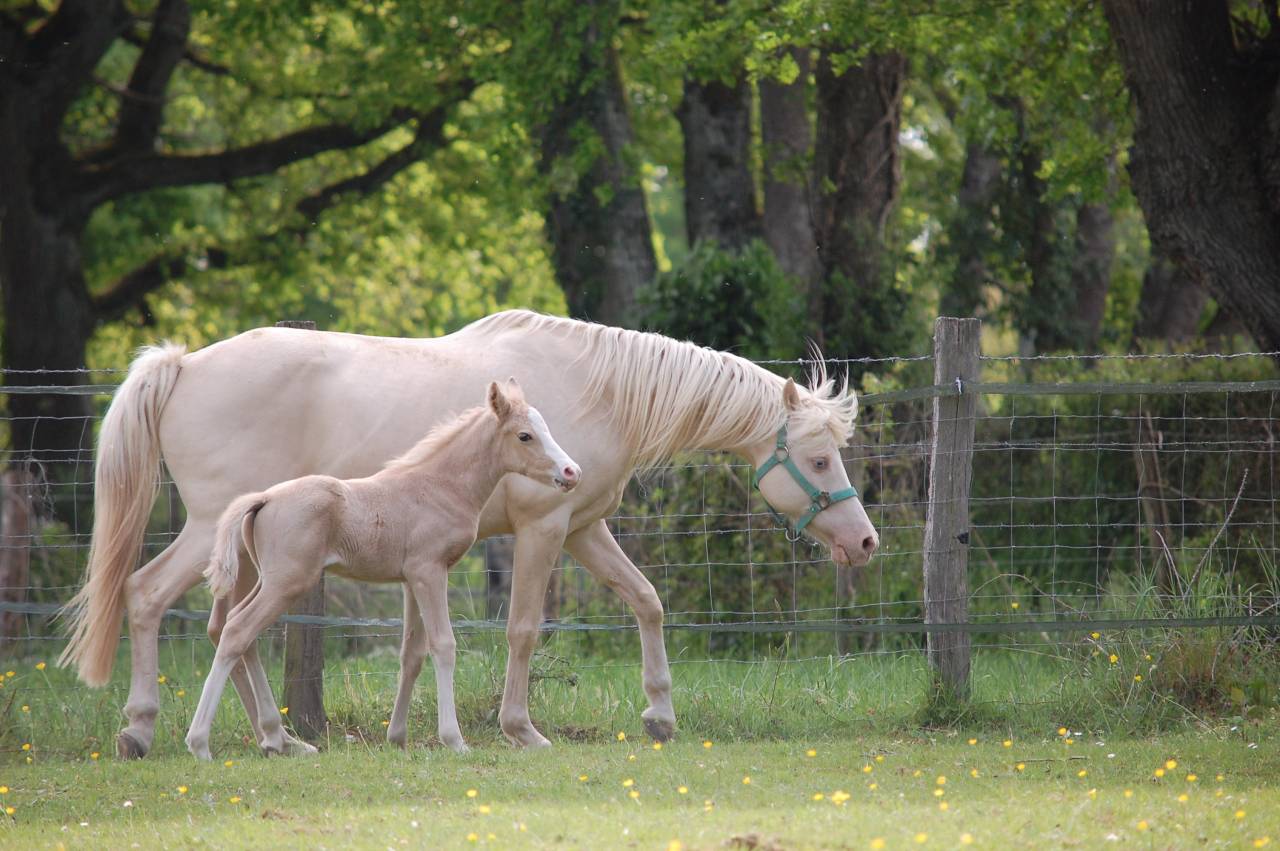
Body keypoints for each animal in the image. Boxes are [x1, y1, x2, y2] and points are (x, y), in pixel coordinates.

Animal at [186, 379, 579, 760]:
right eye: (525, 435)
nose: (571, 472)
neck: (439, 487)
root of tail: (264, 497)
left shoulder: (410, 580)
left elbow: (412, 655)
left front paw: (398, 737)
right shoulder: (430, 571)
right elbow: (444, 645)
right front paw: (454, 740)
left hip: (268, 579)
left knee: (235, 629)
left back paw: (279, 740)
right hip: (288, 582)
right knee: (237, 630)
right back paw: (201, 743)